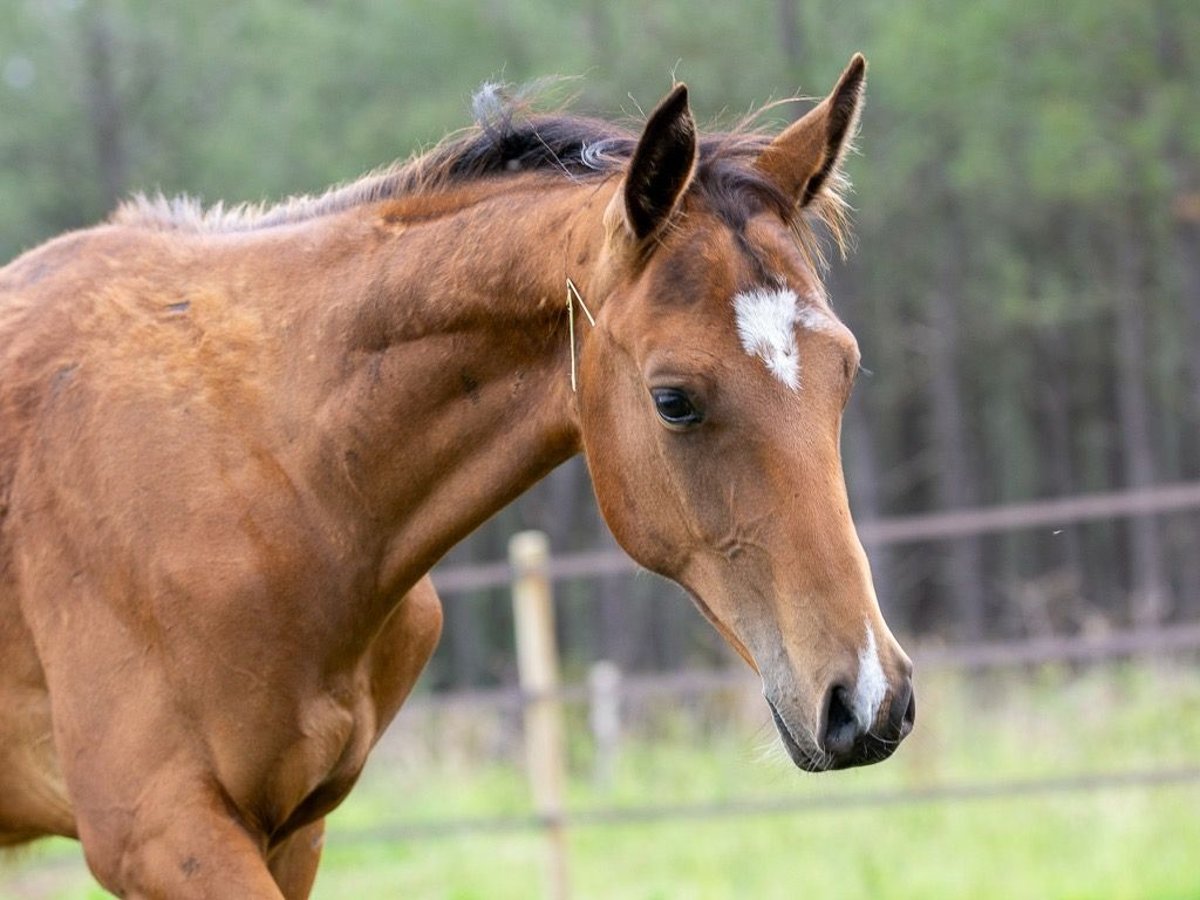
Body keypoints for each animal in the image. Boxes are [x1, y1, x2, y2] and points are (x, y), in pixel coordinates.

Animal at [0, 54, 907, 897]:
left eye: (846, 370)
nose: (867, 700)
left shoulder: (293, 833)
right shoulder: (162, 834)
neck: (264, 472)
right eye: (674, 400)